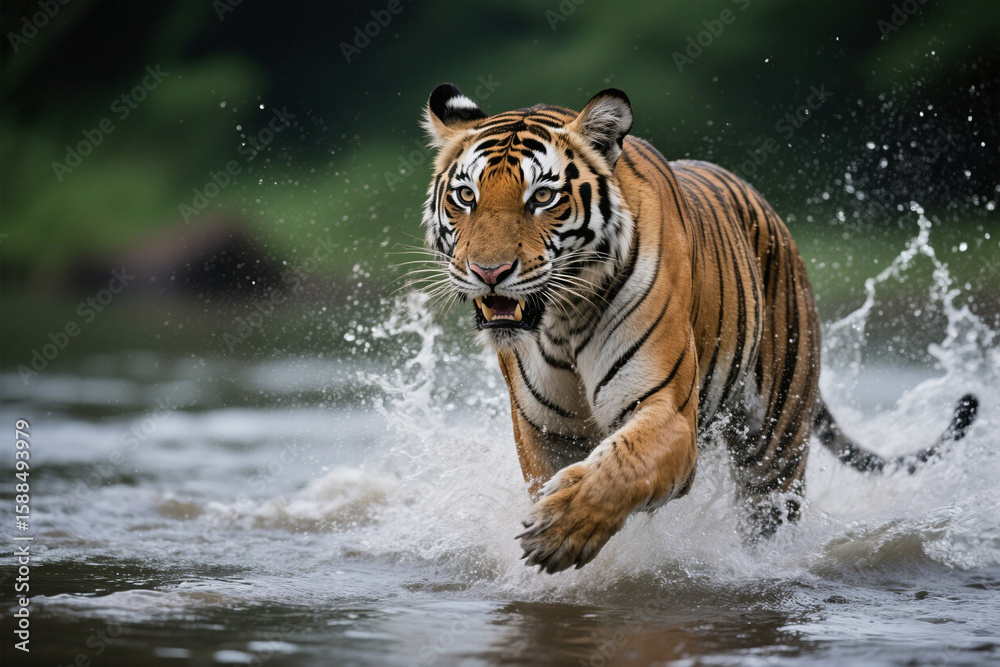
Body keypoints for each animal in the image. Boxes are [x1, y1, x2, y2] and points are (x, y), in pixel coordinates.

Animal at [419, 83, 979, 574]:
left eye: (542, 198)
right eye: (465, 196)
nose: (489, 271)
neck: (563, 319)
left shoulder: (666, 411)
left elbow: (622, 465)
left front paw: (560, 531)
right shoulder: (545, 431)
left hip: (775, 447)